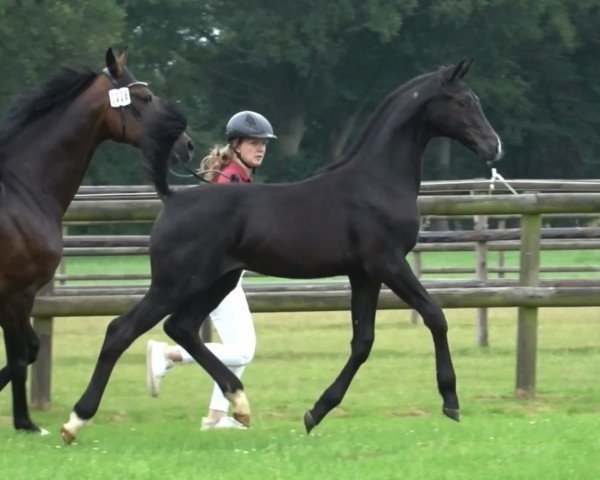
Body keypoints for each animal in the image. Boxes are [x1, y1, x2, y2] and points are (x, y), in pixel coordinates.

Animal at [0, 47, 192, 434]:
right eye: (145, 97)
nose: (187, 145)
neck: (22, 190)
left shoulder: (10, 299)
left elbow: (26, 351)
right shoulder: (17, 294)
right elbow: (20, 357)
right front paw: (26, 423)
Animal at [62, 59, 502, 442]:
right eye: (464, 101)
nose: (493, 146)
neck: (377, 180)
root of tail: (172, 198)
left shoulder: (363, 273)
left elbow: (362, 342)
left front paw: (316, 412)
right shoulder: (388, 263)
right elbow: (435, 316)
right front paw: (450, 399)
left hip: (216, 283)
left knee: (181, 328)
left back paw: (239, 402)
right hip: (175, 283)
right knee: (122, 330)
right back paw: (76, 420)